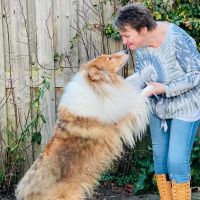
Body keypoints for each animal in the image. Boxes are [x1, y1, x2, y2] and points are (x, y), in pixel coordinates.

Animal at [15, 50, 149, 199]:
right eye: (109, 58)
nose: (126, 51)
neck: (96, 88)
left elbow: (131, 82)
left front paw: (146, 71)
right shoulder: (122, 118)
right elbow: (140, 96)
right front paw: (153, 85)